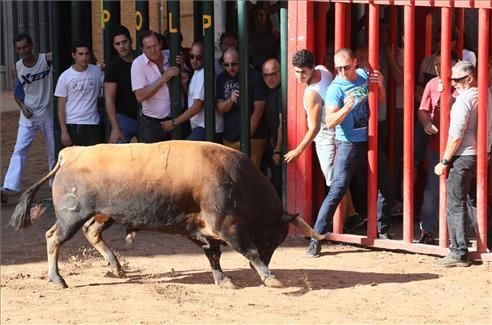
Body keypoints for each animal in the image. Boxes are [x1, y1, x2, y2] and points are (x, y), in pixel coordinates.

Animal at [10, 140, 322, 288]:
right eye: (276, 237)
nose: (270, 262)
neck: (238, 181)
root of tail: (70, 153)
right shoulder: (227, 224)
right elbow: (248, 250)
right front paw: (269, 277)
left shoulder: (203, 230)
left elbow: (214, 256)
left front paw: (223, 280)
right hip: (71, 216)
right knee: (53, 238)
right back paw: (58, 279)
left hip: (103, 214)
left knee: (92, 232)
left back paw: (116, 267)